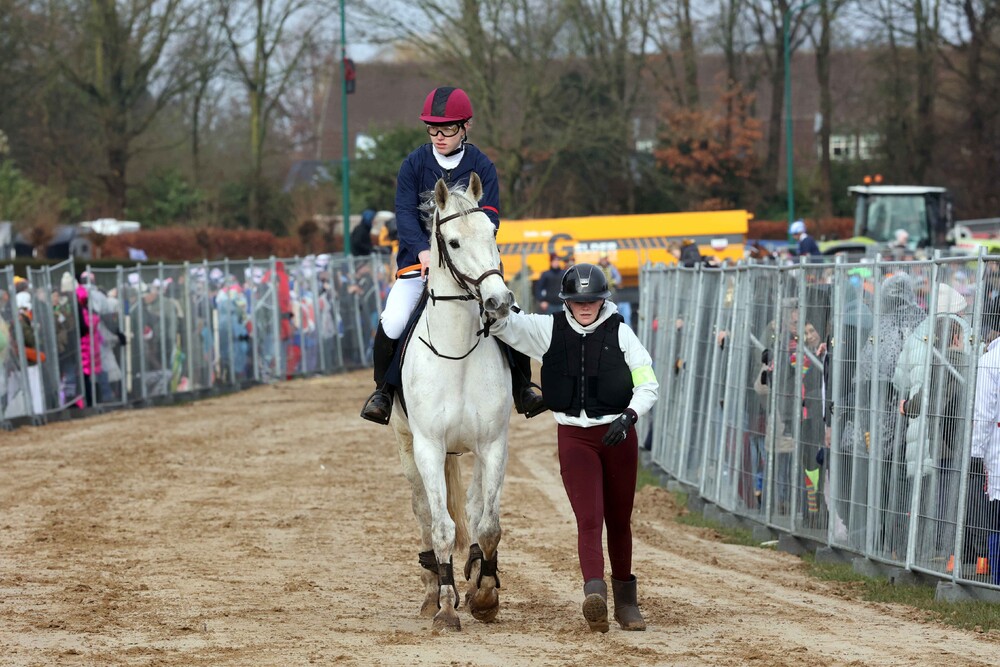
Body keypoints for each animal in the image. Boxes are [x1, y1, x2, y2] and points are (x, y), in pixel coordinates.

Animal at [390, 173, 514, 631]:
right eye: (454, 242)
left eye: (492, 234)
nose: (498, 302)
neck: (458, 351)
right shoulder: (428, 445)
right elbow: (442, 526)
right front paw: (445, 607)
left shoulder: (493, 444)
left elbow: (489, 524)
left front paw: (485, 595)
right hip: (408, 447)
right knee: (425, 513)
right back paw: (432, 592)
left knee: (477, 509)